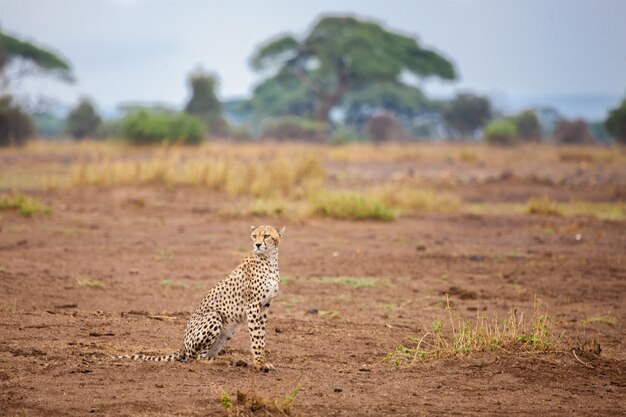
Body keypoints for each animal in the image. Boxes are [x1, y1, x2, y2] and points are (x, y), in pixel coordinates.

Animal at [116, 224, 284, 370]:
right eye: (254, 236)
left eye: (266, 236)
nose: (257, 245)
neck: (269, 260)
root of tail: (182, 346)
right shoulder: (253, 305)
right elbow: (256, 337)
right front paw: (259, 364)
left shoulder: (265, 306)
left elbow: (261, 335)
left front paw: (262, 361)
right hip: (214, 316)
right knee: (196, 358)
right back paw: (222, 361)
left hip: (228, 331)